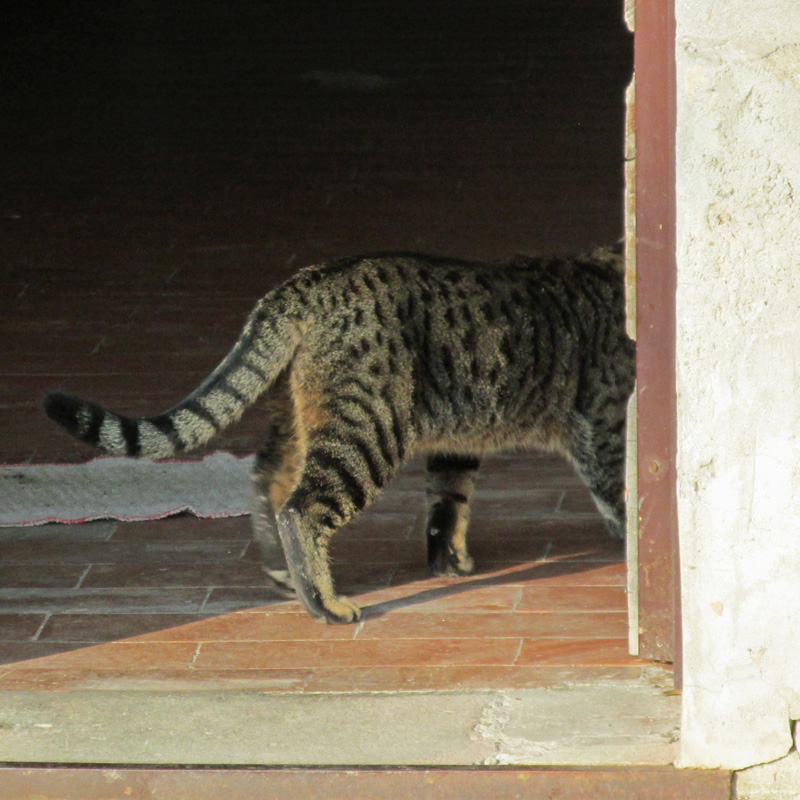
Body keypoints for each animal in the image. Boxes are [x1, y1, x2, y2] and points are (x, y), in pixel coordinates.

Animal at [44, 244, 635, 624]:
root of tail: (308, 281)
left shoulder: (456, 443)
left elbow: (446, 505)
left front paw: (449, 562)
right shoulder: (607, 429)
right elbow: (626, 499)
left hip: (307, 419)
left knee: (266, 481)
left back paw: (283, 573)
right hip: (367, 429)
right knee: (300, 507)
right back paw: (324, 604)